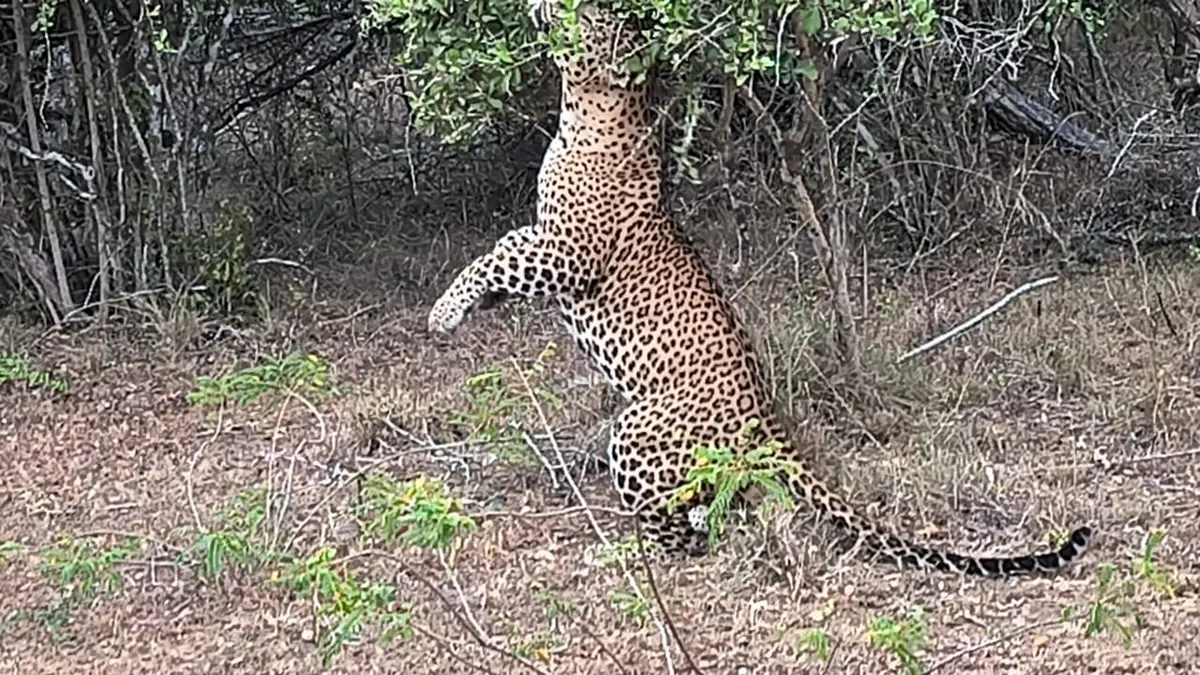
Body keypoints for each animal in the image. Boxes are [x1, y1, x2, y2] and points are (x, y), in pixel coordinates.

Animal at [427, 0, 1092, 576]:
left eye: (590, 21)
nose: (556, 4)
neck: (589, 109)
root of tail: (767, 417)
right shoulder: (548, 242)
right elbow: (505, 251)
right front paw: (470, 305)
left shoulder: (570, 254)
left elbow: (497, 259)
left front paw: (444, 312)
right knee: (713, 505)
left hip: (638, 432)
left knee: (679, 533)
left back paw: (623, 555)